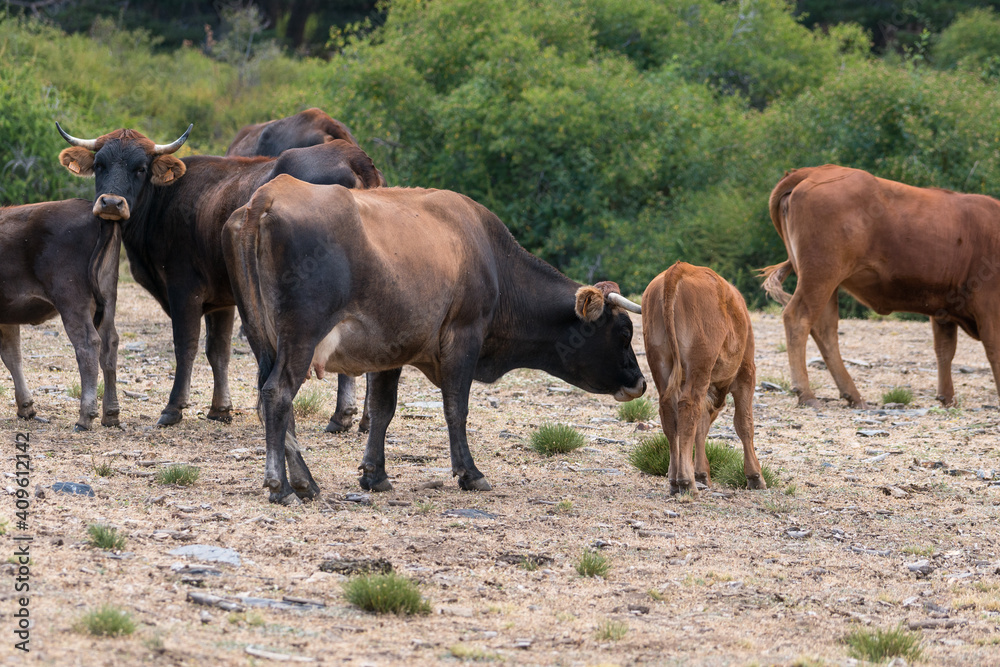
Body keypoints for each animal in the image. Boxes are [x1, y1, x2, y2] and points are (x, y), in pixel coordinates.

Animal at [224, 177, 648, 506]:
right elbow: (455, 408)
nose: (640, 382)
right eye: (624, 333)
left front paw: (374, 474)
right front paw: (470, 472)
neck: (489, 255)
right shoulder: (464, 336)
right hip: (301, 336)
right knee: (278, 395)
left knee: (274, 400)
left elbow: (382, 409)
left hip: (266, 339)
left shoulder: (389, 348)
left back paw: (304, 482)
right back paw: (281, 486)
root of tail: (266, 196)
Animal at [640, 260, 764, 496]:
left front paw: (700, 473)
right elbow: (744, 423)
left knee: (670, 411)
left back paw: (675, 480)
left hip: (660, 361)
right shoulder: (746, 372)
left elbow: (700, 427)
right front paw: (755, 476)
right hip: (700, 363)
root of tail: (679, 268)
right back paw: (686, 481)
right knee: (688, 407)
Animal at [756, 164, 1000, 410]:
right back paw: (807, 394)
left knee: (825, 330)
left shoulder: (944, 308)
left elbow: (945, 350)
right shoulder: (989, 306)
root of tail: (815, 170)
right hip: (821, 275)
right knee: (799, 319)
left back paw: (853, 396)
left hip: (826, 282)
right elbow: (993, 349)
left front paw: (947, 398)